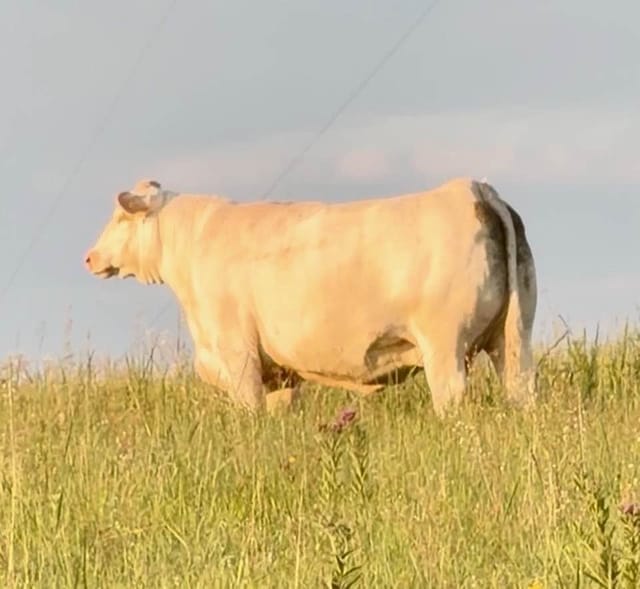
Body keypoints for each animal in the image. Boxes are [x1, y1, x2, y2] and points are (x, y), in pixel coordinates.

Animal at [84, 177, 537, 416]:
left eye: (120, 217)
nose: (89, 257)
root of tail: (472, 189)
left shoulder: (237, 352)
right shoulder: (279, 372)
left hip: (445, 345)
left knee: (452, 397)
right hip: (513, 338)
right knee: (521, 388)